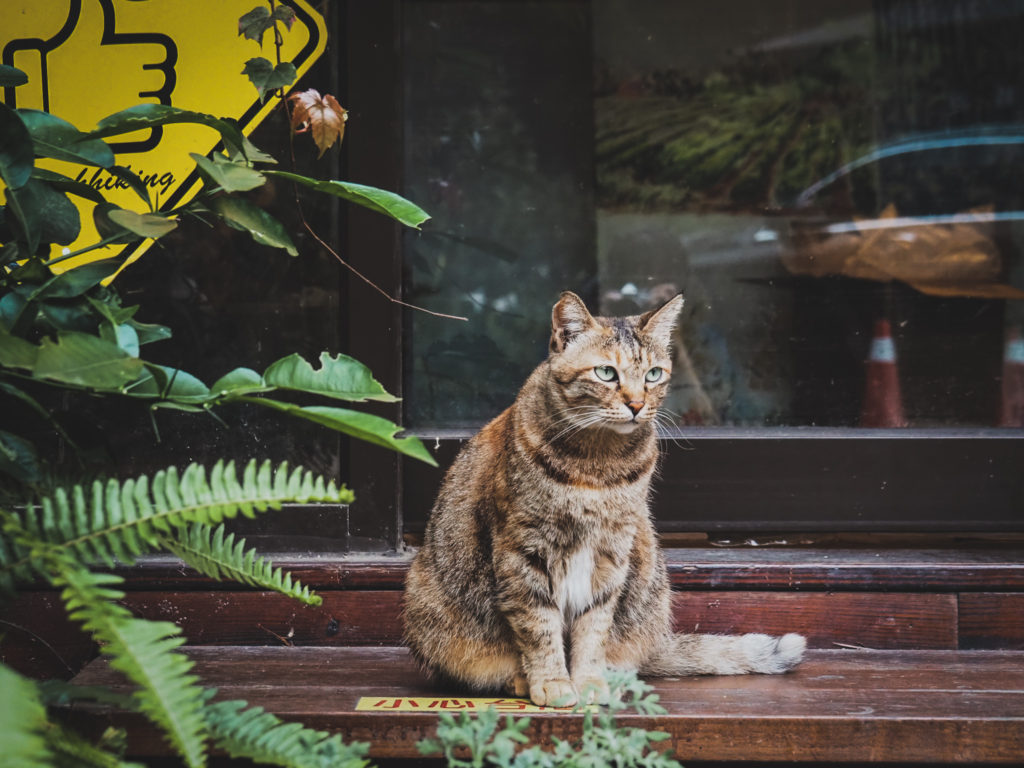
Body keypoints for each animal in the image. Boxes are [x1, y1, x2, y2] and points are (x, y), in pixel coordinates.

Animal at [403, 290, 802, 708]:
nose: (637, 404)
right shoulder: (523, 552)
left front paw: (589, 681)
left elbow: (594, 627)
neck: (598, 465)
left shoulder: (612, 552)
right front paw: (552, 682)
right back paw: (519, 680)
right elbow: (538, 627)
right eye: (606, 373)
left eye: (653, 374)